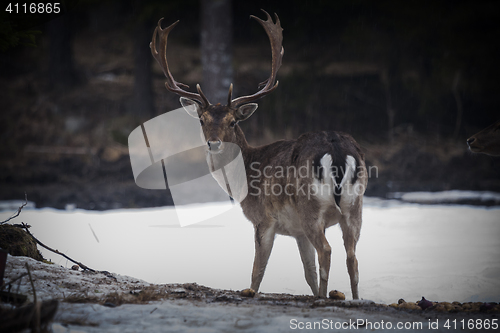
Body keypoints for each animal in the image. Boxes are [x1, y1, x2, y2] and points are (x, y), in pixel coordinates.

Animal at [149, 10, 368, 296]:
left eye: (233, 121)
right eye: (201, 120)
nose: (214, 143)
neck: (243, 180)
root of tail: (337, 151)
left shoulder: (263, 219)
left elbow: (257, 272)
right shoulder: (297, 231)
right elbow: (307, 273)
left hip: (311, 207)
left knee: (327, 251)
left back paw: (324, 297)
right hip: (355, 207)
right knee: (352, 259)